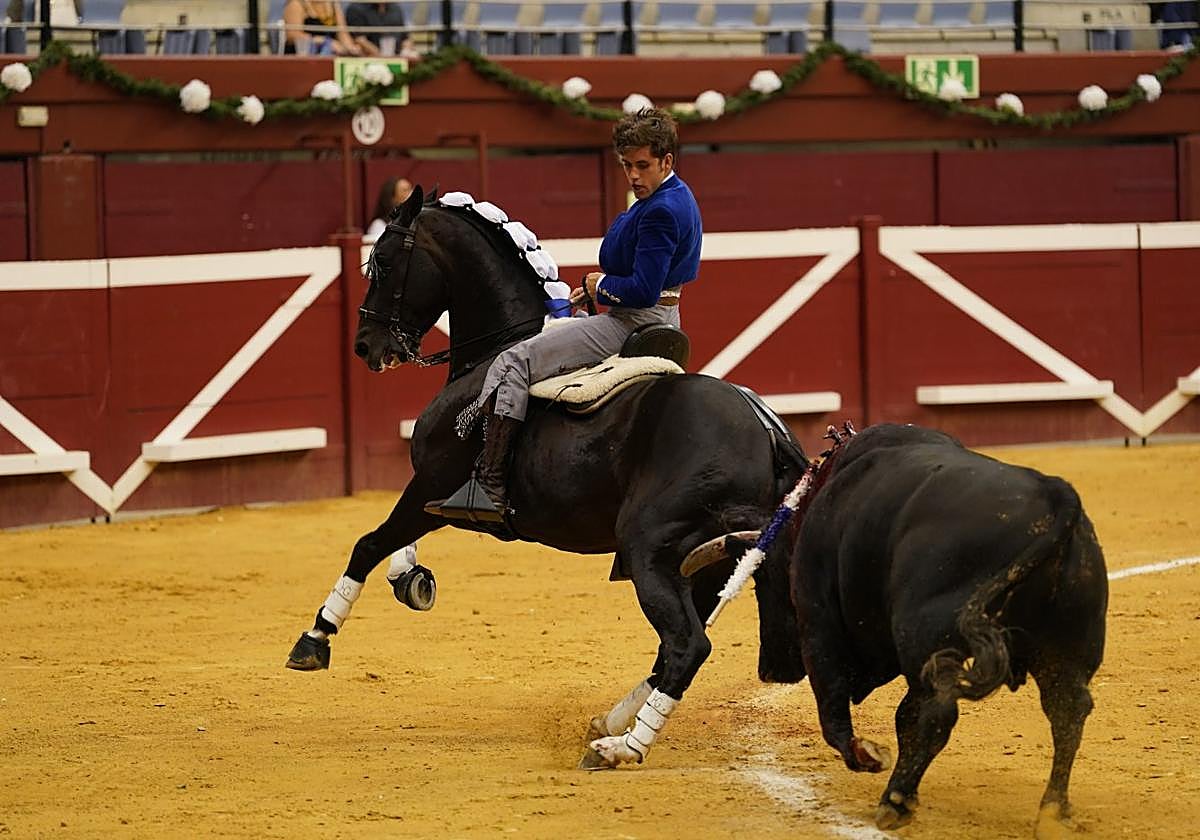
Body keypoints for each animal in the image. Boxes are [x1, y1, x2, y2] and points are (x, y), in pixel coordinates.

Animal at [286, 185, 808, 768]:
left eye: (384, 261)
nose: (367, 346)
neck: (492, 351)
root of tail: (766, 428)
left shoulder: (434, 487)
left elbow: (369, 543)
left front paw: (316, 637)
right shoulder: (432, 495)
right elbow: (390, 543)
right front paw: (411, 578)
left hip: (650, 548)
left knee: (686, 645)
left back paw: (621, 747)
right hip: (706, 563)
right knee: (676, 644)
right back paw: (611, 723)